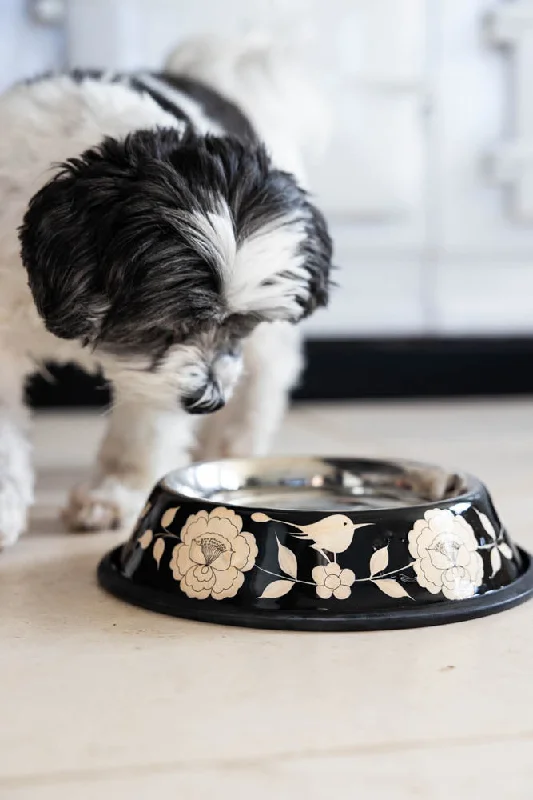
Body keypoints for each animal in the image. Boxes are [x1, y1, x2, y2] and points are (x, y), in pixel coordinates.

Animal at [0, 34, 332, 548]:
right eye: (166, 326)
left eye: (240, 324)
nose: (207, 399)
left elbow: (146, 423)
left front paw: (113, 494)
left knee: (271, 374)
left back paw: (235, 443)